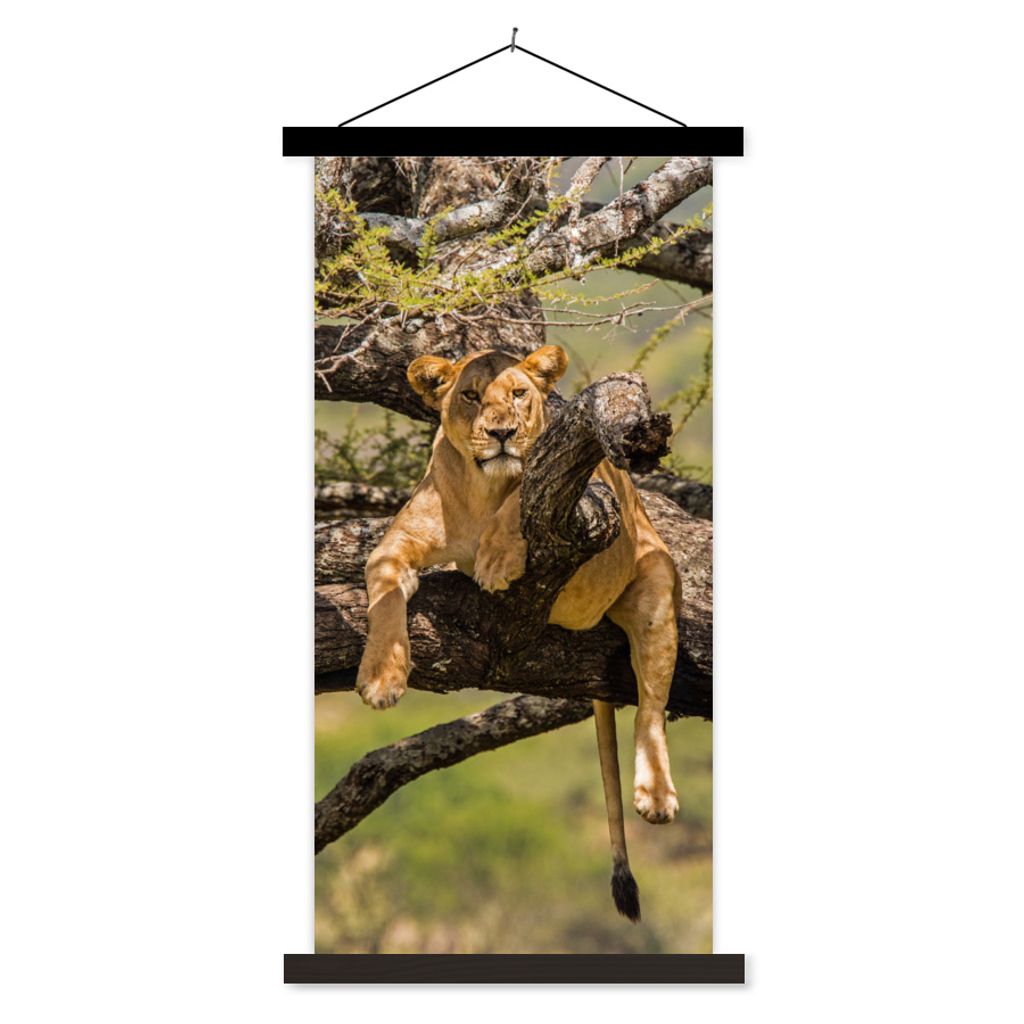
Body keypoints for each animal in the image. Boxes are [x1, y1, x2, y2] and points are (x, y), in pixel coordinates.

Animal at [355, 344, 681, 921]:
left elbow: (520, 499)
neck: (482, 489)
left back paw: (656, 795)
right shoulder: (392, 550)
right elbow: (385, 602)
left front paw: (497, 559)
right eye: (469, 395)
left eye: (518, 393)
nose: (502, 432)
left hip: (654, 584)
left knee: (651, 706)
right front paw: (381, 678)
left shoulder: (585, 495)